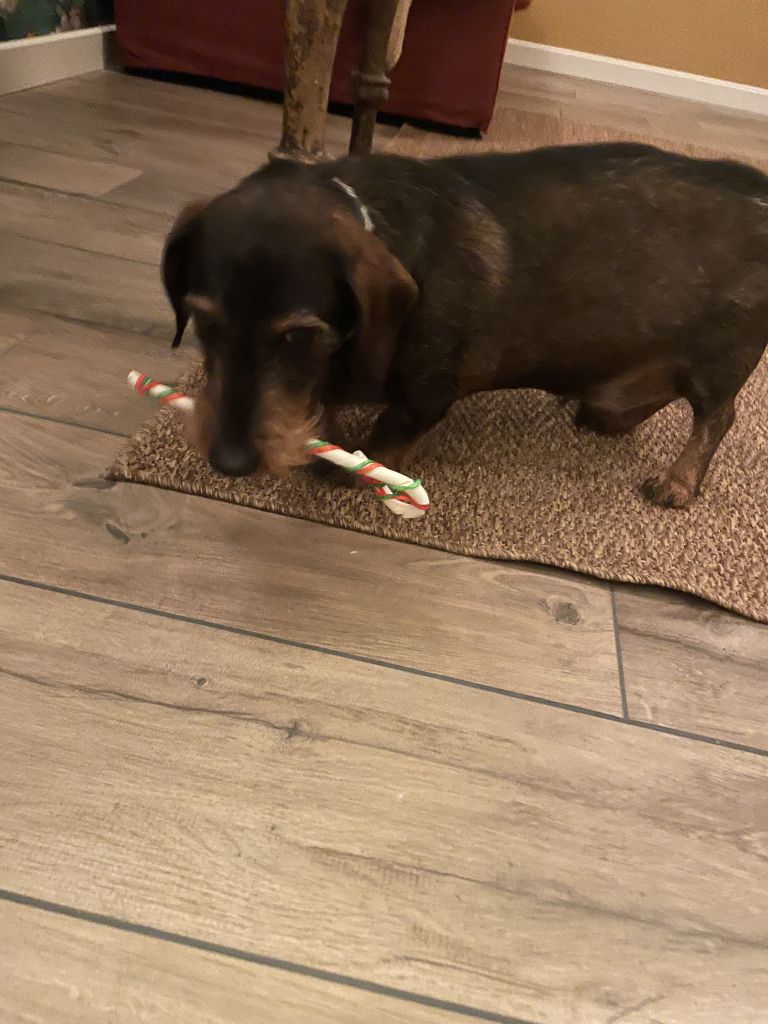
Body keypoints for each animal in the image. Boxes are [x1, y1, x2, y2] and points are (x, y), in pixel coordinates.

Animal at [162, 142, 768, 508]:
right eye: (204, 321)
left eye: (297, 335)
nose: (230, 463)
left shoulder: (425, 397)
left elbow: (390, 432)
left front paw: (353, 466)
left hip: (717, 361)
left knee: (718, 418)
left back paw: (678, 481)